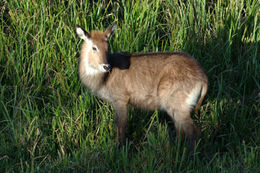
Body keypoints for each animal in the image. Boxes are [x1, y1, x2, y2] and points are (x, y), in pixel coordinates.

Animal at [75, 22, 207, 148]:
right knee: (181, 131)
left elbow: (120, 127)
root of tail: (203, 78)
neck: (104, 78)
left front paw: (120, 148)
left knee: (193, 131)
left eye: (108, 47)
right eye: (94, 47)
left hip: (177, 106)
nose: (106, 66)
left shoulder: (120, 100)